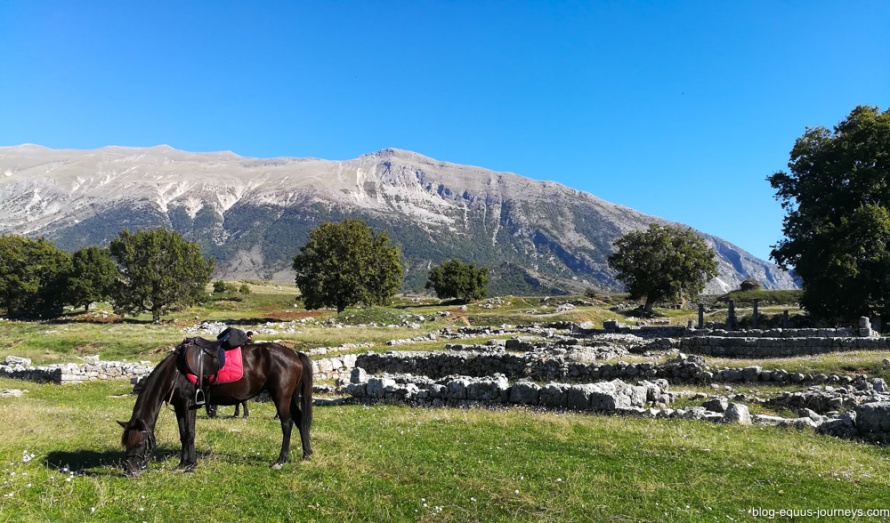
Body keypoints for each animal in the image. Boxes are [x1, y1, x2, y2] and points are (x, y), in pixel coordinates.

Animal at [118, 342, 312, 476]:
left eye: (141, 443)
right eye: (126, 443)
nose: (130, 471)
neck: (175, 373)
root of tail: (294, 353)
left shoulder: (189, 405)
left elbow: (190, 434)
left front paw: (190, 465)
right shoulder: (180, 407)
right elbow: (183, 435)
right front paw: (182, 464)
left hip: (281, 397)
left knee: (287, 424)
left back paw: (281, 460)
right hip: (289, 398)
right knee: (300, 420)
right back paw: (306, 454)